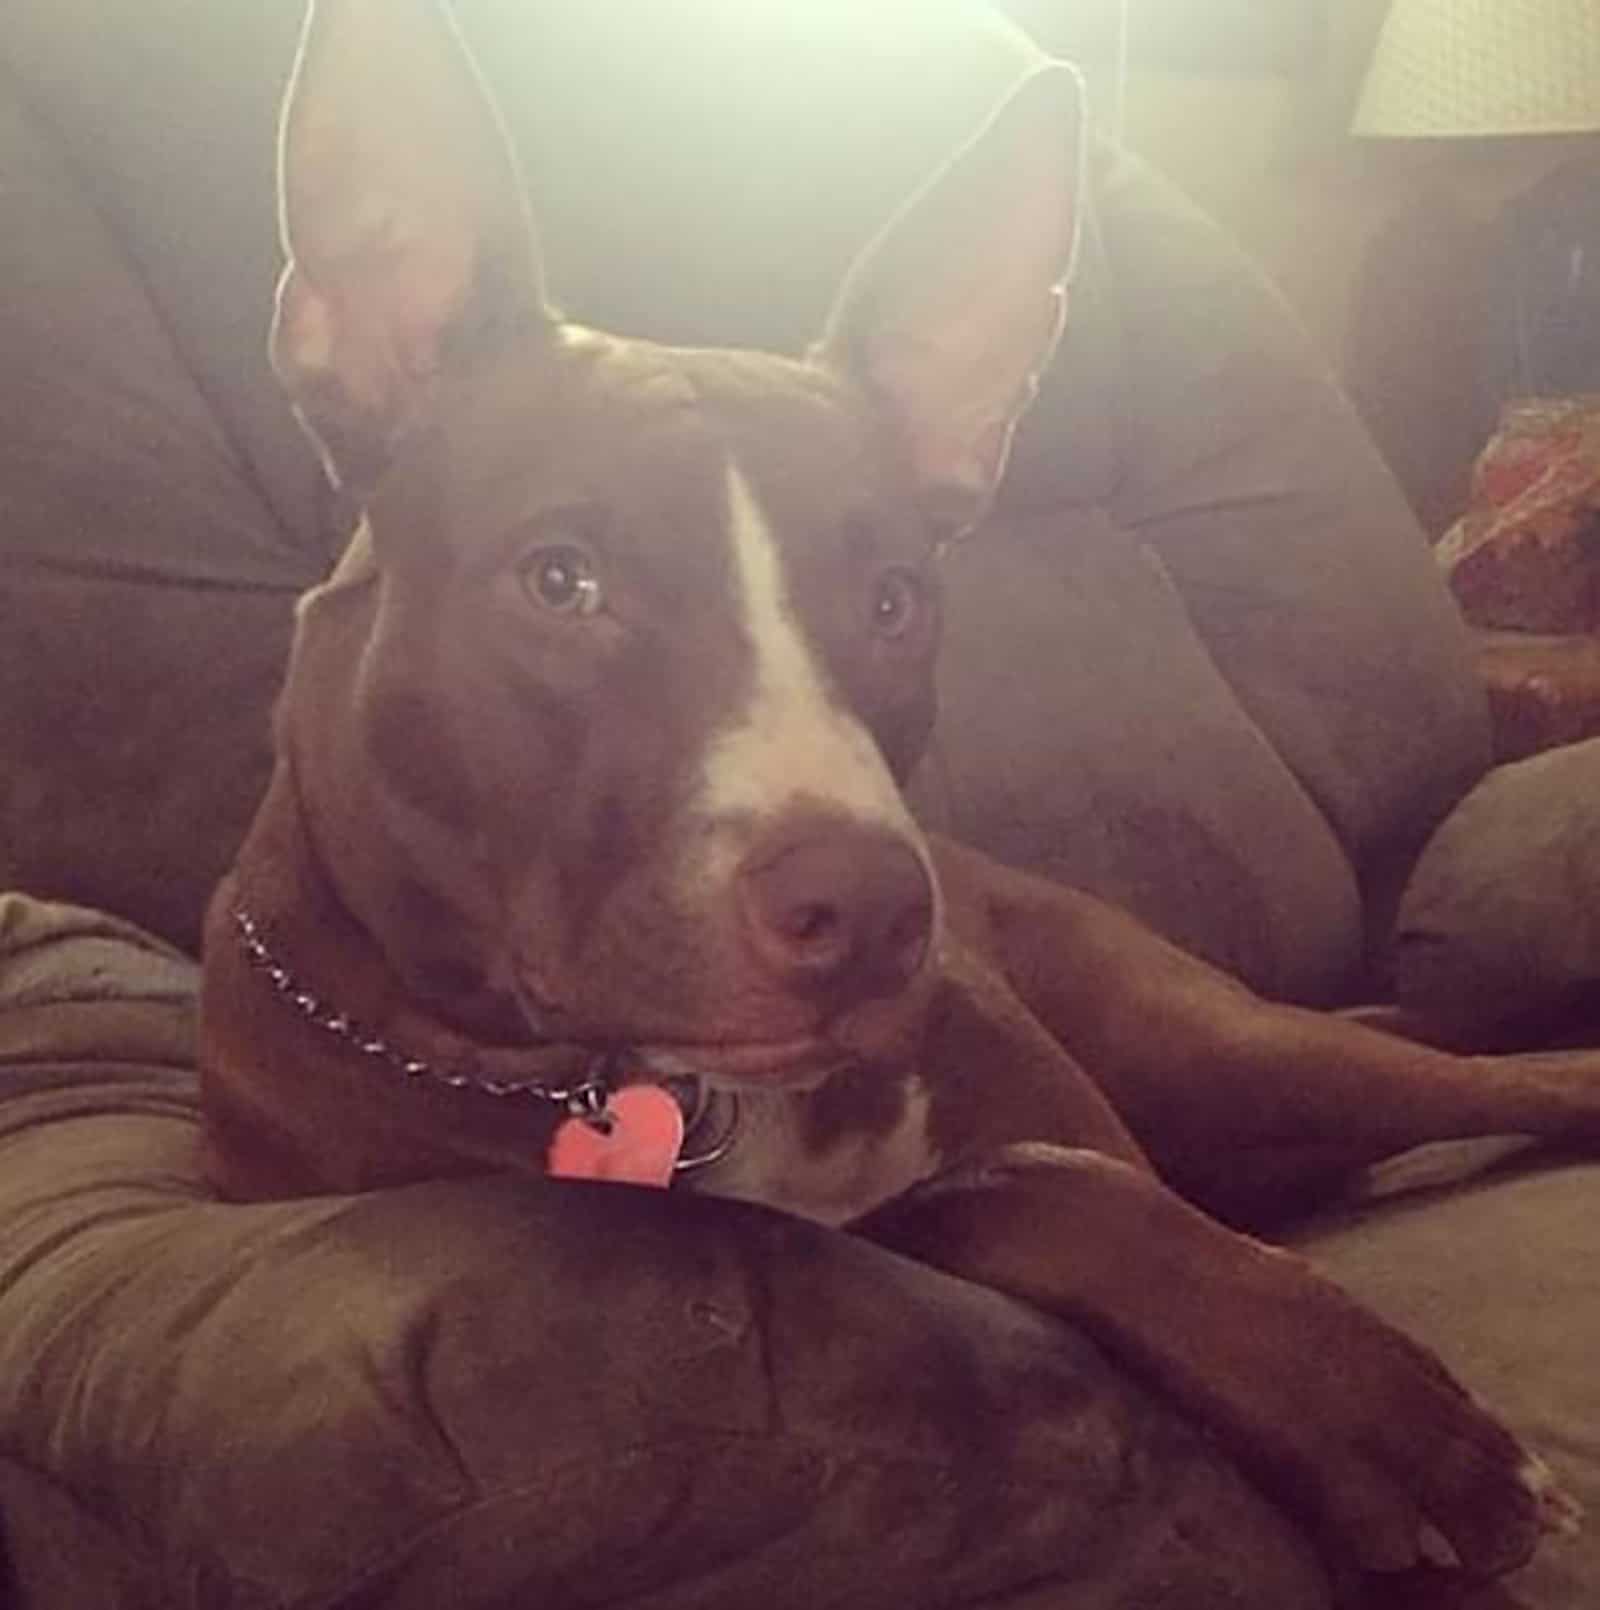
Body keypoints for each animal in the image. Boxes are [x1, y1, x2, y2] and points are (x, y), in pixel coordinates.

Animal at [202, 0, 1596, 1584]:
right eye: (562, 580)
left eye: (892, 599)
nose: (871, 904)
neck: (672, 1100)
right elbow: (992, 1193)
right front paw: (1375, 1416)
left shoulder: (1076, 1125)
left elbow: (1038, 1171)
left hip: (1239, 1044)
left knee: (1503, 1077)